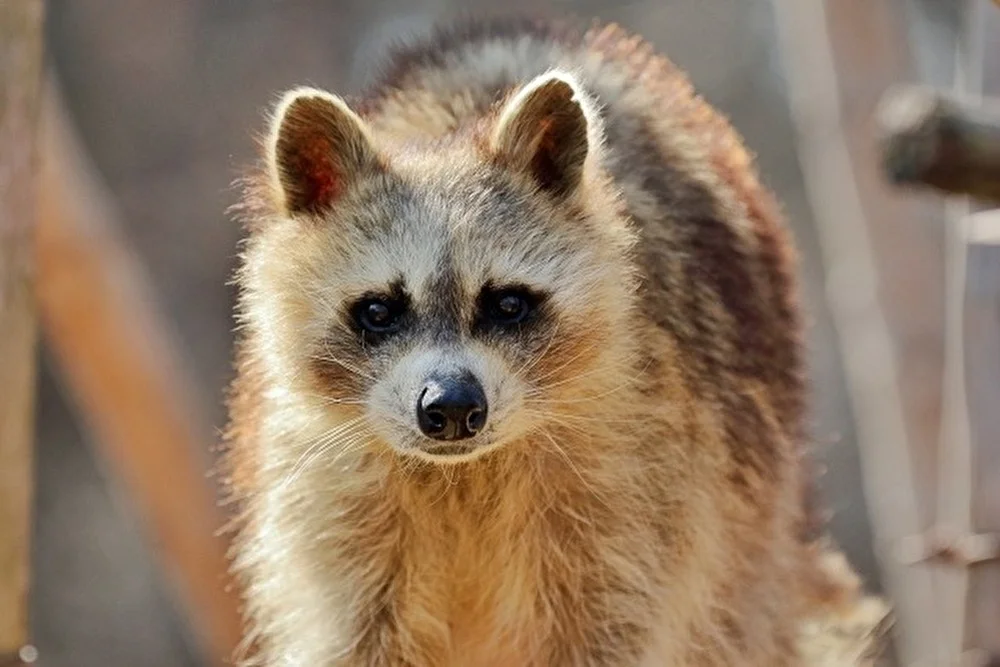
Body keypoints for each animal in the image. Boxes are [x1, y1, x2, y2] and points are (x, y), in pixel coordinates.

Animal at [223, 15, 888, 667]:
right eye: (379, 311)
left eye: (508, 304)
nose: (453, 408)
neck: (462, 475)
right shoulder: (326, 499)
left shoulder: (638, 481)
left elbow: (620, 624)